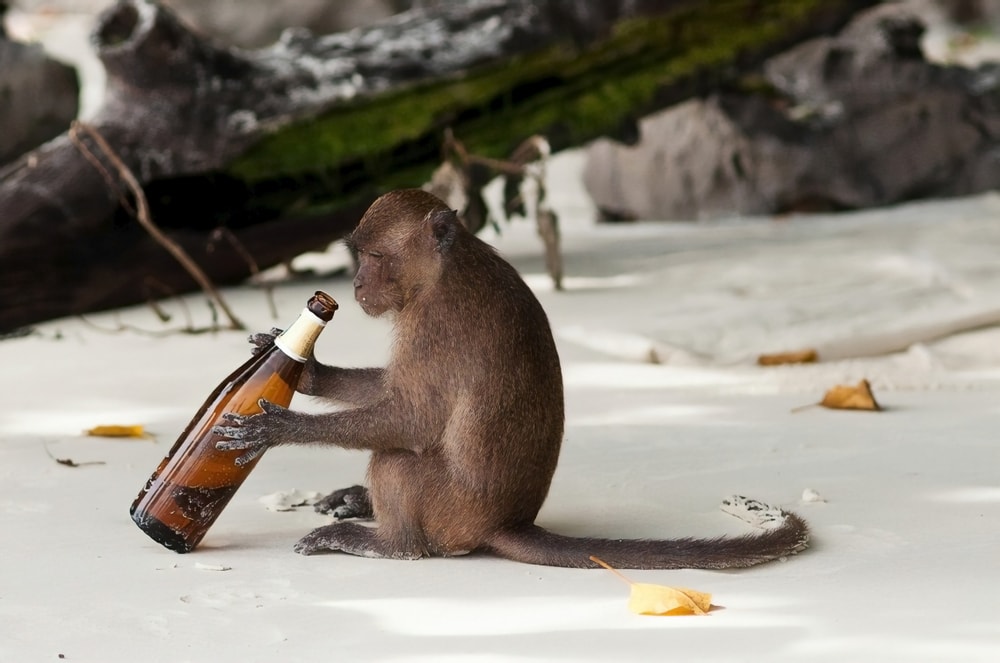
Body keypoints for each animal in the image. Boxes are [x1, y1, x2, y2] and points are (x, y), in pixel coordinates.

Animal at [214, 189, 809, 569]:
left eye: (375, 256)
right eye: (358, 256)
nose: (356, 284)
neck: (446, 268)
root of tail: (505, 522)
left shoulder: (436, 323)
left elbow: (413, 420)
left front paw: (280, 427)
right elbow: (394, 398)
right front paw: (306, 371)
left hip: (450, 511)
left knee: (397, 461)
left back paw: (389, 543)